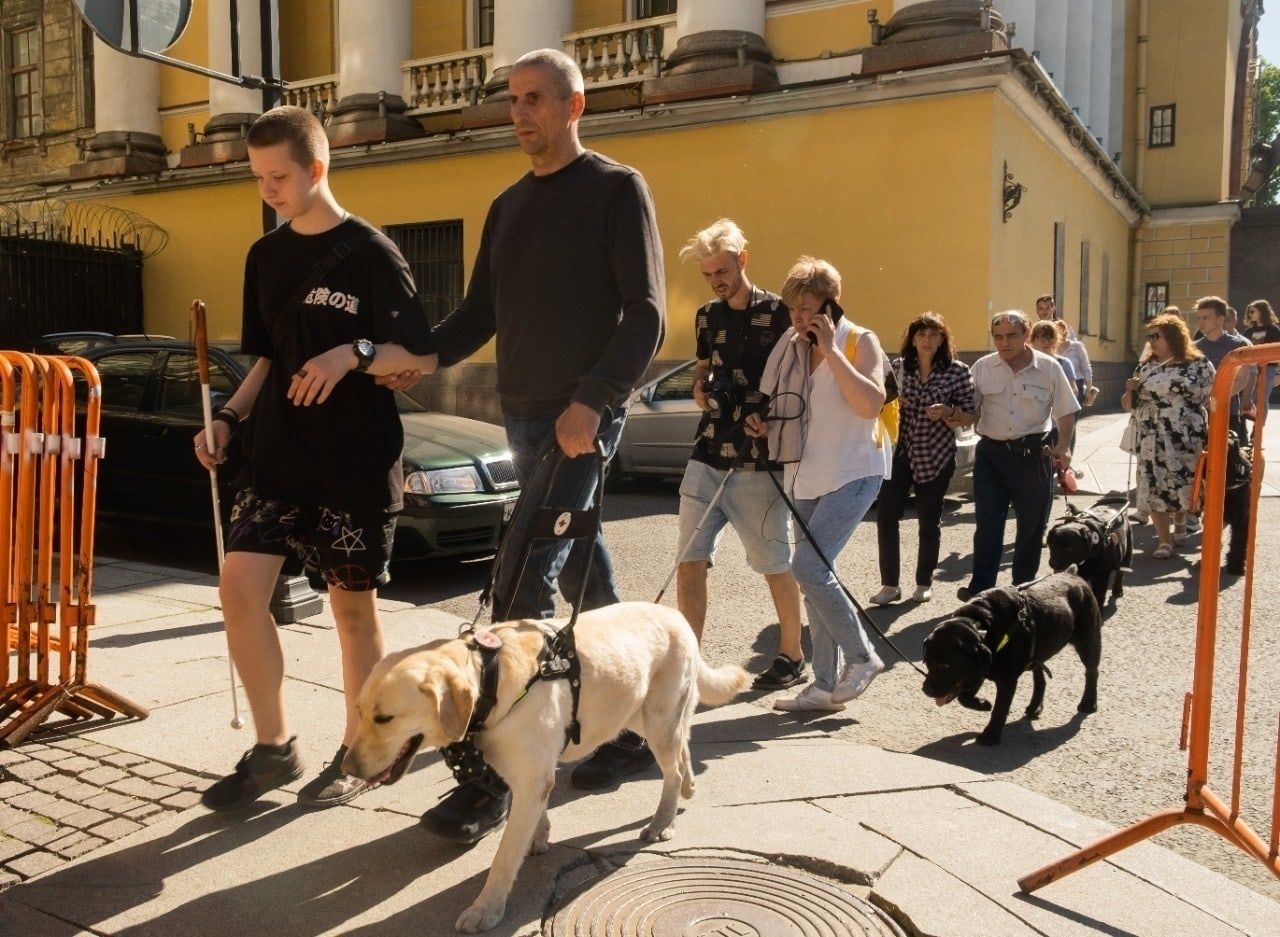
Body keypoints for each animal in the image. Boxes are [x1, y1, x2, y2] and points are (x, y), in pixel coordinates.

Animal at [345, 599, 752, 931]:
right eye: (359, 711)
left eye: (384, 718)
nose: (348, 768)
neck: (491, 678)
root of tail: (678, 617)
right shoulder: (528, 770)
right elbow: (531, 817)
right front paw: (538, 836)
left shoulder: (531, 775)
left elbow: (504, 856)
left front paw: (486, 909)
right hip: (636, 714)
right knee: (684, 748)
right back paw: (688, 789)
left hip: (658, 721)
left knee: (673, 767)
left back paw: (663, 820)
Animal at [921, 570, 1100, 747]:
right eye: (927, 663)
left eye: (945, 665)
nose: (926, 690)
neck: (984, 626)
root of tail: (1072, 574)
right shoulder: (980, 669)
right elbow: (964, 697)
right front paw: (982, 704)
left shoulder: (1006, 679)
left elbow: (1000, 708)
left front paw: (990, 735)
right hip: (1037, 654)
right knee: (1040, 678)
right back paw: (1035, 706)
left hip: (1088, 642)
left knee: (1092, 672)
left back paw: (1088, 703)